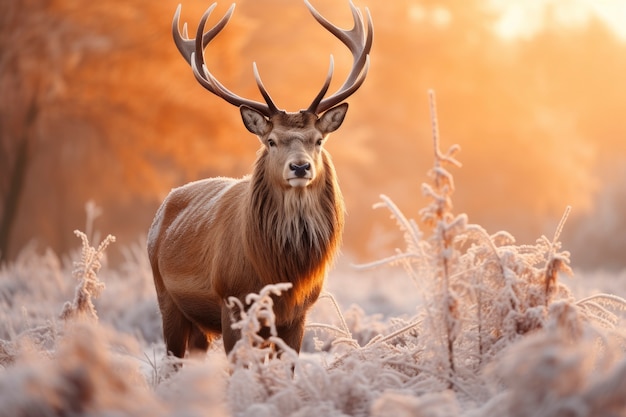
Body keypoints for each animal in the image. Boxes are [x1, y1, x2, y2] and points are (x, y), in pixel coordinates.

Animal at [146, 0, 370, 360]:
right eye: (272, 141)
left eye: (318, 140)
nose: (300, 167)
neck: (279, 274)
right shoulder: (232, 301)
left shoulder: (298, 314)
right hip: (166, 298)